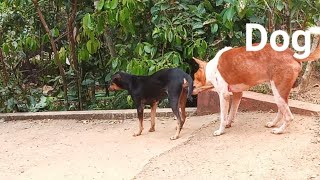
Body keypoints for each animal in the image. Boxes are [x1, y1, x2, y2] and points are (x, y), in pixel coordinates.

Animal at [192, 39, 320, 136]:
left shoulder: (224, 95)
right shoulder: (238, 94)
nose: (190, 88)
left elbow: (223, 116)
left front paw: (220, 131)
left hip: (278, 92)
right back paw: (273, 124)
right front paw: (229, 123)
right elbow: (232, 112)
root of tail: (292, 54)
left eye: (194, 77)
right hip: (279, 93)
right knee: (282, 111)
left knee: (289, 117)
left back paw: (279, 131)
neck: (211, 68)